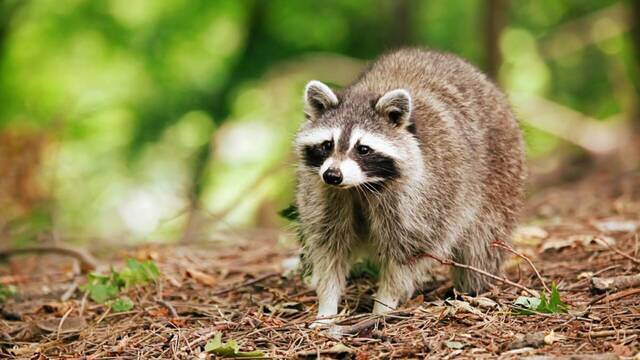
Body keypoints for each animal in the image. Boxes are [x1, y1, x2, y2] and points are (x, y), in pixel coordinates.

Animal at [296, 46, 524, 324]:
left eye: (363, 149)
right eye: (328, 144)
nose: (332, 175)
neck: (359, 187)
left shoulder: (424, 198)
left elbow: (408, 253)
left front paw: (384, 304)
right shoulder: (326, 196)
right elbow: (329, 248)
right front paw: (327, 306)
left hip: (501, 178)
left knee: (482, 245)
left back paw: (474, 288)